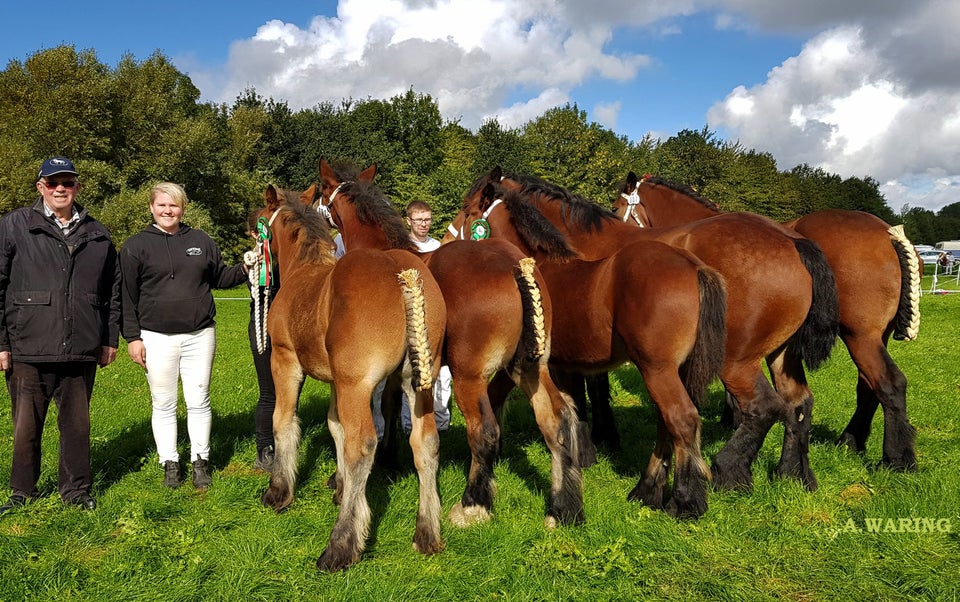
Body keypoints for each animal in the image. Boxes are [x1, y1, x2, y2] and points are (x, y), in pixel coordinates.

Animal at [255, 185, 450, 568]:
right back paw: (426, 534)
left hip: (358, 385)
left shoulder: (286, 361)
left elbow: (284, 421)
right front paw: (342, 489)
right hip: (418, 382)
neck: (304, 271)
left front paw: (278, 491)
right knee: (425, 443)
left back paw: (339, 546)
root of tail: (403, 272)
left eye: (258, 225)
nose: (250, 257)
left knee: (362, 447)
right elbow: (335, 427)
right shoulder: (336, 382)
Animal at [316, 158, 584, 524]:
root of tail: (515, 265)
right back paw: (563, 506)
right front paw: (388, 457)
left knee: (484, 431)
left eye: (322, 190)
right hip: (530, 368)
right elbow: (389, 403)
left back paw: (473, 503)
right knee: (557, 420)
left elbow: (384, 406)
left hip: (469, 376)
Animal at [458, 168, 728, 516]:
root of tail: (694, 266)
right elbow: (571, 405)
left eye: (467, 209)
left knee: (682, 420)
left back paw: (684, 501)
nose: (446, 243)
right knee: (666, 424)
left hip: (658, 370)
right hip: (674, 372)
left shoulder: (534, 365)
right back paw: (647, 491)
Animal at [616, 171, 924, 466]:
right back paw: (850, 441)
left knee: (890, 383)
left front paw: (732, 419)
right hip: (872, 337)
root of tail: (888, 234)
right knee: (868, 387)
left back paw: (897, 458)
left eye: (616, 205)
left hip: (860, 336)